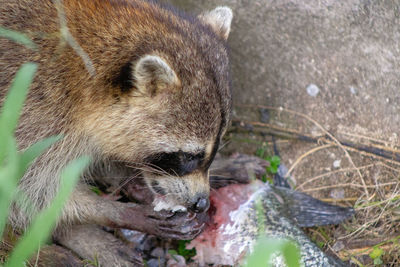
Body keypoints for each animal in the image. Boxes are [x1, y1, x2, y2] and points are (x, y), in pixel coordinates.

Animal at [0, 0, 233, 247]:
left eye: (212, 151)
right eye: (188, 157)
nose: (202, 203)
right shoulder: (33, 111)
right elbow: (22, 193)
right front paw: (113, 211)